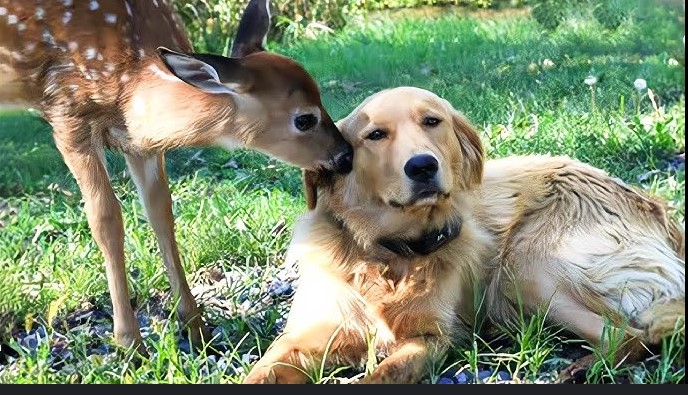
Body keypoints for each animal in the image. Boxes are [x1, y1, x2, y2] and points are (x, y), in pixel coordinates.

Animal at [243, 86, 684, 384]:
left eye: (432, 121)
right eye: (375, 135)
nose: (422, 166)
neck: (388, 254)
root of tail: (655, 207)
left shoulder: (432, 338)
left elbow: (385, 373)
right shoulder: (299, 339)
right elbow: (260, 372)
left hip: (523, 268)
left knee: (631, 333)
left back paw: (581, 369)